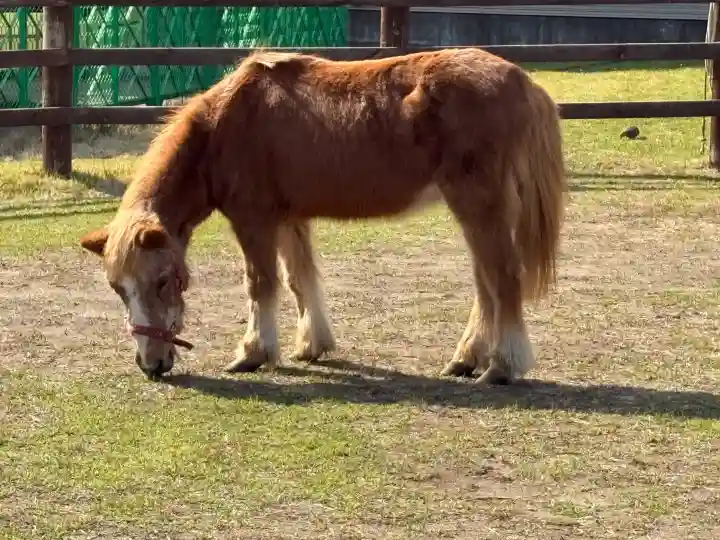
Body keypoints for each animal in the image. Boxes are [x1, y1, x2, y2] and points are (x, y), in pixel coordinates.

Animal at [78, 48, 566, 384]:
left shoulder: (253, 221)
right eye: (118, 289)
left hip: (480, 207)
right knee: (487, 284)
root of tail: (525, 84)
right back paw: (467, 359)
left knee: (502, 279)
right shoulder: (289, 219)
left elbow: (260, 284)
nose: (151, 364)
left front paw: (254, 352)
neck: (223, 127)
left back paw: (502, 366)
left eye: (163, 281)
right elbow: (300, 279)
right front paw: (312, 345)